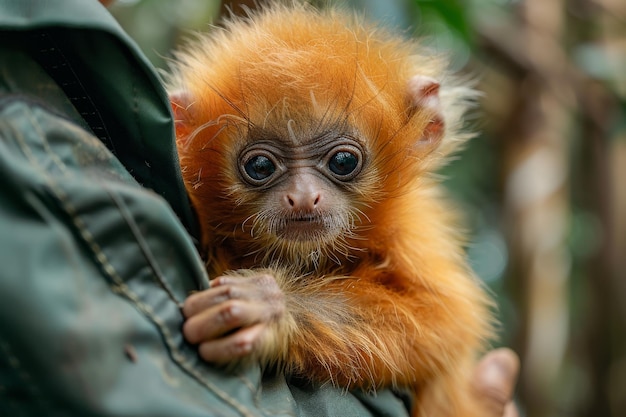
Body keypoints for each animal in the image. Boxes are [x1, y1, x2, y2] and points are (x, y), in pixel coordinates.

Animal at [168, 1, 494, 414]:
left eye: (342, 161)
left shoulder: (410, 231)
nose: (303, 196)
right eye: (260, 167)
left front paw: (271, 308)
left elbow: (442, 320)